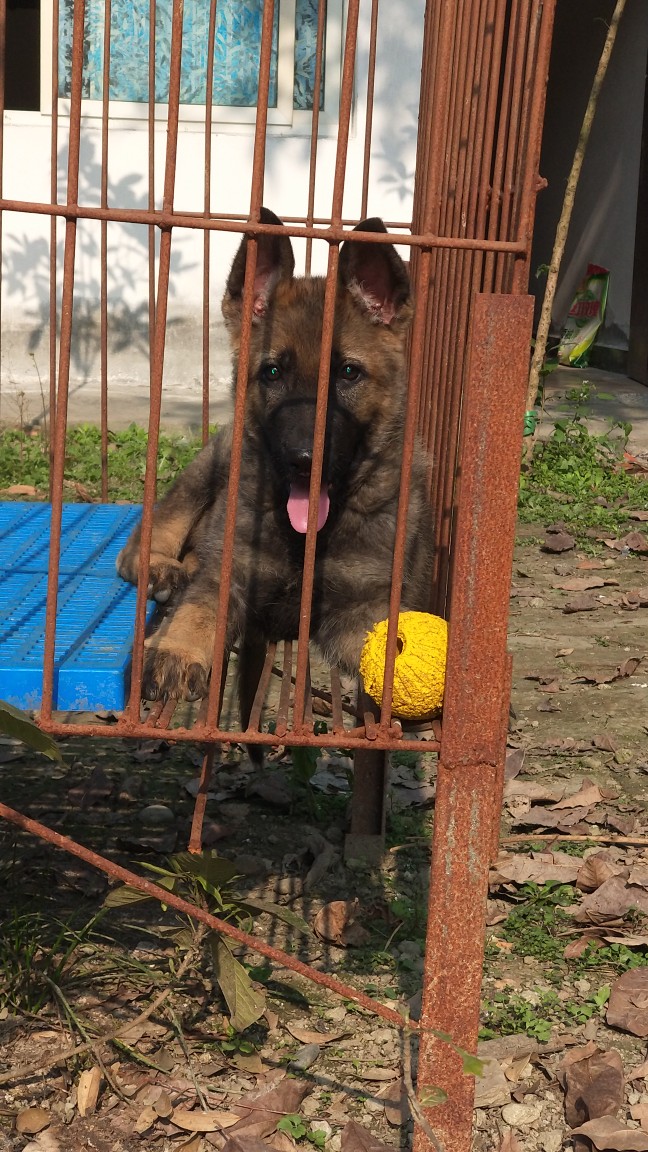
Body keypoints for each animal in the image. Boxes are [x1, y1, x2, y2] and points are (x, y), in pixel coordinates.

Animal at [117, 208, 428, 728]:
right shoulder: (231, 574)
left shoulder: (360, 607)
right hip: (208, 470)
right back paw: (160, 568)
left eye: (348, 373)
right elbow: (200, 606)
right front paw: (178, 650)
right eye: (273, 373)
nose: (304, 460)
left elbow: (381, 647)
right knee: (149, 537)